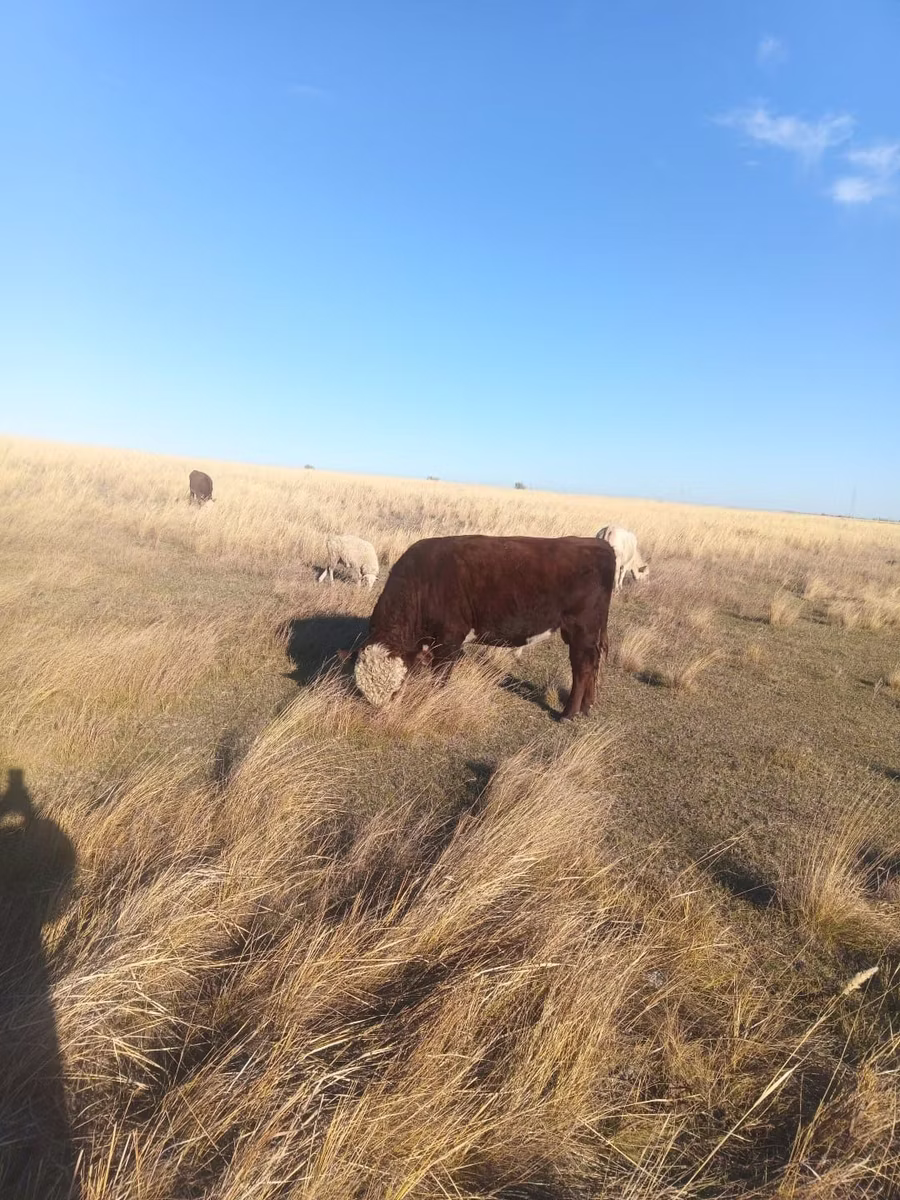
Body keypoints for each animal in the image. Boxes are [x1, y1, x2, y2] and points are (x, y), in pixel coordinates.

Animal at [351, 535, 615, 720]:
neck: (424, 583)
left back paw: (568, 713)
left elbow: (440, 676)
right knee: (592, 664)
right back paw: (587, 706)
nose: (381, 716)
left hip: (582, 630)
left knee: (582, 668)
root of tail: (598, 544)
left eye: (395, 692)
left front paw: (435, 699)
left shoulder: (448, 639)